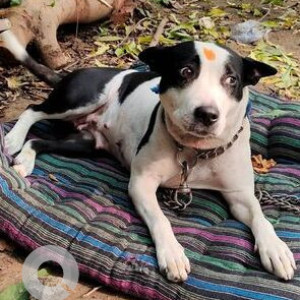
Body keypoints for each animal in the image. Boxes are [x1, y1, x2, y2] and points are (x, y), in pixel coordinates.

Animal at [0, 29, 296, 282]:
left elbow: (259, 216)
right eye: (185, 71)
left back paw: (26, 159)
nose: (207, 114)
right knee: (33, 109)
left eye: (231, 79)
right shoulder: (141, 183)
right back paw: (14, 139)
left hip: (84, 142)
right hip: (80, 99)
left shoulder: (239, 194)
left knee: (39, 140)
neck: (196, 151)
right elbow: (161, 220)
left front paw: (276, 248)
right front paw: (173, 253)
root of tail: (71, 73)